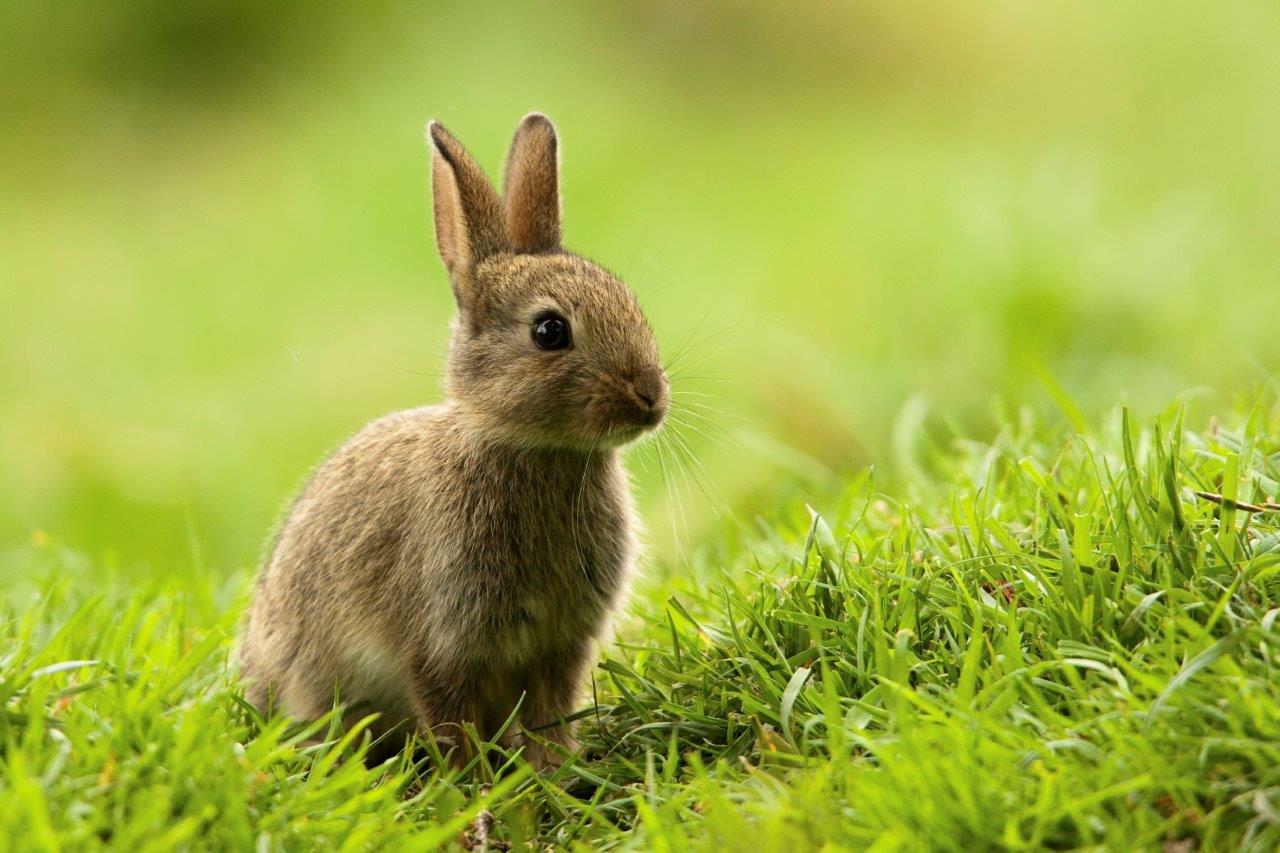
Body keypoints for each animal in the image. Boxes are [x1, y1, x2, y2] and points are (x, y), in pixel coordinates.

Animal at [236, 109, 670, 768]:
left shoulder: (561, 643)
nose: (651, 397)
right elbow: (447, 712)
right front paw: (474, 781)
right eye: (550, 331)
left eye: (631, 304)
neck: (532, 449)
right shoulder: (441, 637)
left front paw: (557, 768)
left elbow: (550, 708)